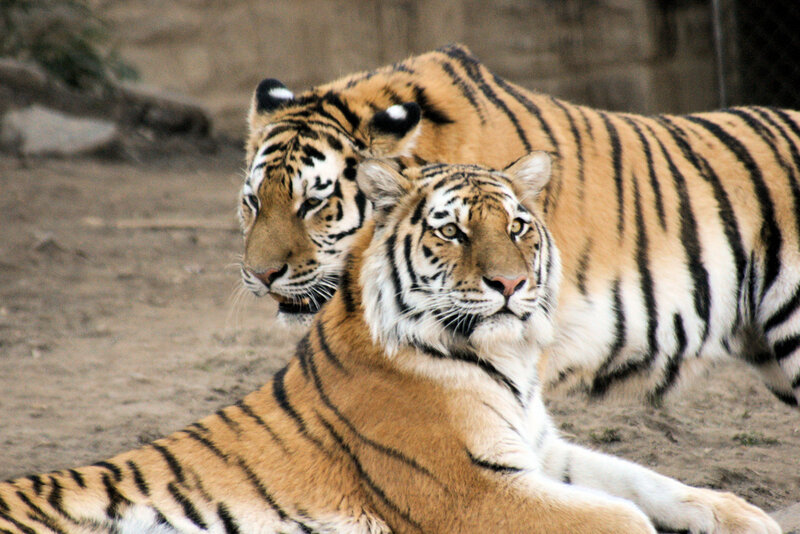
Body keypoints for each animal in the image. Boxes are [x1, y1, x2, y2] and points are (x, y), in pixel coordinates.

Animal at [0, 156, 780, 534]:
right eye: (453, 231)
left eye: (518, 227)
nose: (510, 283)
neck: (507, 360)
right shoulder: (475, 490)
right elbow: (623, 515)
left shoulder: (537, 450)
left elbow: (651, 481)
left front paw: (748, 518)